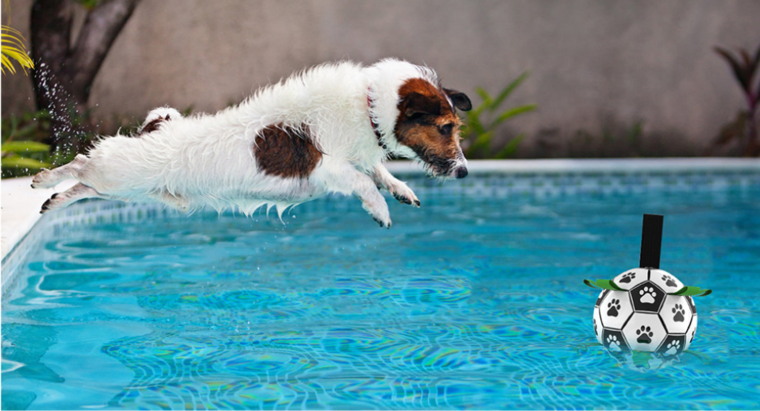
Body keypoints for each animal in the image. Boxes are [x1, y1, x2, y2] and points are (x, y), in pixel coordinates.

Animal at [32, 58, 472, 227]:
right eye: (445, 128)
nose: (466, 172)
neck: (368, 106)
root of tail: (155, 129)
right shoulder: (326, 166)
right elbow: (363, 180)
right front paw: (380, 209)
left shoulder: (358, 156)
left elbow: (378, 170)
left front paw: (400, 189)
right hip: (118, 172)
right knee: (81, 165)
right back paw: (43, 180)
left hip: (130, 190)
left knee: (83, 187)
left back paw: (54, 199)